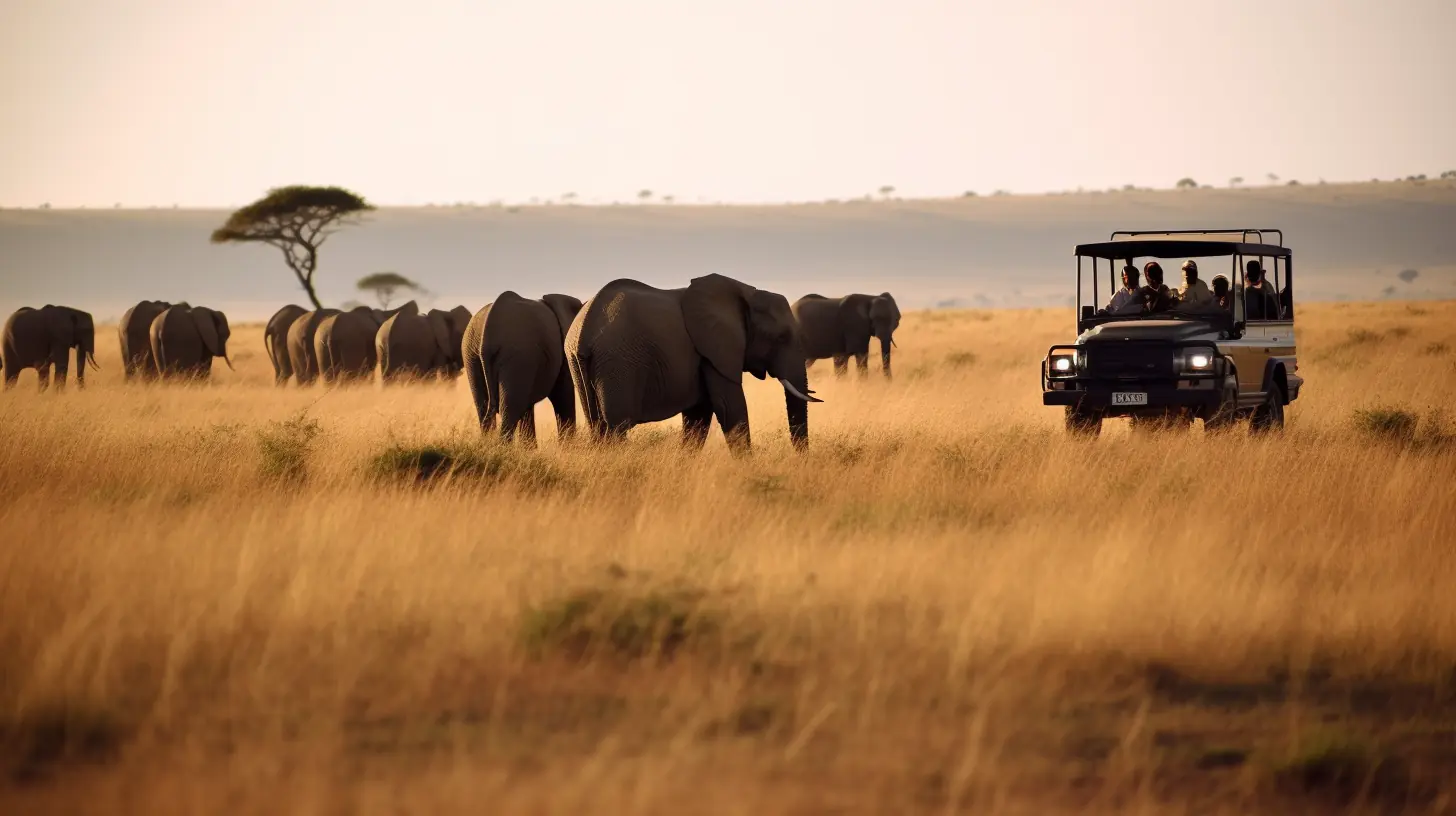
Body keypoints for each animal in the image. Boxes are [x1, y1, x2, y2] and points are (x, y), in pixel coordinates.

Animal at [562, 273, 821, 451]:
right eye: (781, 337)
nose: (801, 463)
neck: (747, 294)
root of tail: (583, 330)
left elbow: (699, 415)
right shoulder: (713, 351)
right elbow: (729, 407)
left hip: (579, 363)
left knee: (598, 426)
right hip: (618, 364)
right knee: (617, 427)